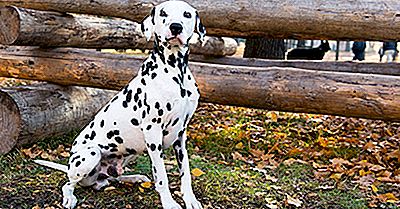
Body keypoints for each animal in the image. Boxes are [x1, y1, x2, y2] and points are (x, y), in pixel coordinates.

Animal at [34, 0, 206, 208]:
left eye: (187, 15)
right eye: (163, 13)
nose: (176, 27)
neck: (175, 71)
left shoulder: (180, 134)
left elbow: (185, 172)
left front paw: (190, 200)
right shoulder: (153, 131)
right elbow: (161, 176)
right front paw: (169, 203)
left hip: (133, 149)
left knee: (110, 178)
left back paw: (134, 178)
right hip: (91, 155)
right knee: (68, 184)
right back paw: (69, 198)